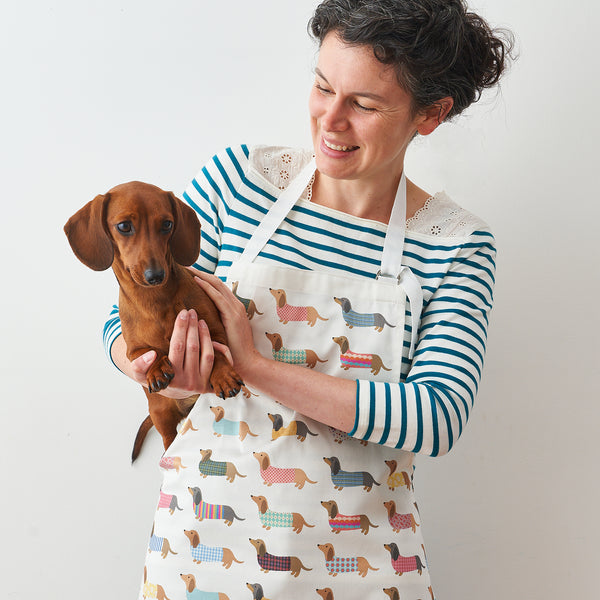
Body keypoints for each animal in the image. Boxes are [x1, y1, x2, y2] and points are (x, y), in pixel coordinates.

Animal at [64, 179, 243, 460]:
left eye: (167, 224)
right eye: (124, 226)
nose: (155, 275)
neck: (155, 300)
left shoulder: (213, 328)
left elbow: (217, 351)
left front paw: (223, 376)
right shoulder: (134, 350)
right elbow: (148, 353)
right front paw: (157, 367)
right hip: (161, 414)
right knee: (168, 439)